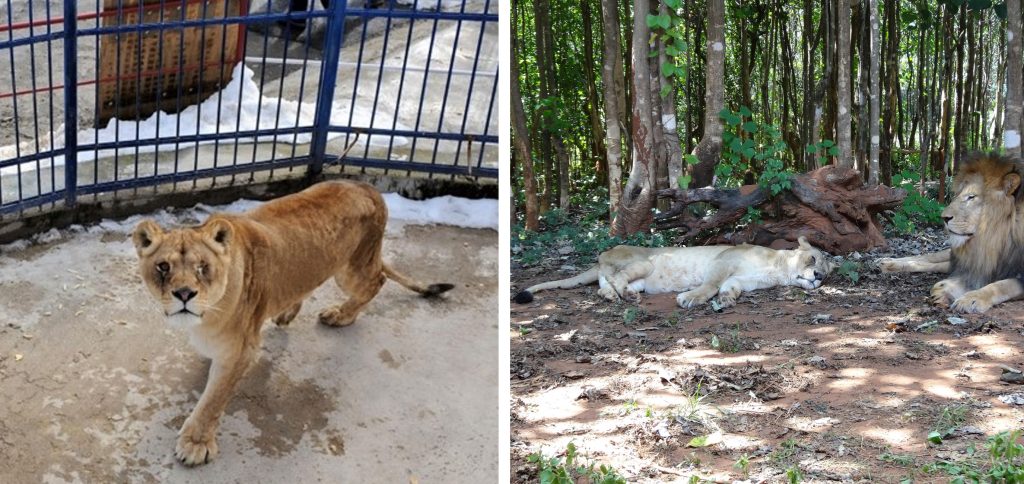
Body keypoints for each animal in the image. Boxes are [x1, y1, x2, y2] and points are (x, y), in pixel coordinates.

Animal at [132, 180, 452, 464]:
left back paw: (341, 315)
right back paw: (287, 313)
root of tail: (369, 187)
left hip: (352, 270)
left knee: (378, 281)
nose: (184, 294)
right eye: (163, 266)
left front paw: (196, 444)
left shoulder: (240, 350)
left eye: (202, 267)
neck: (208, 312)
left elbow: (212, 401)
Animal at [876, 153, 1024, 313]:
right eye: (958, 195)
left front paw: (971, 299)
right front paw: (946, 290)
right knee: (930, 258)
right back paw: (887, 263)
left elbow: (1002, 285)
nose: (944, 218)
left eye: (971, 197)